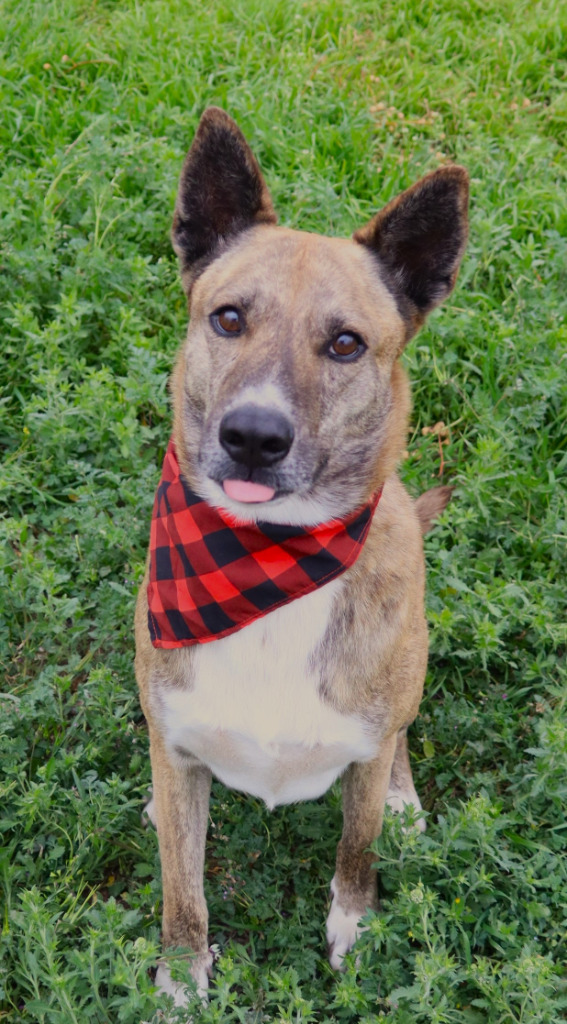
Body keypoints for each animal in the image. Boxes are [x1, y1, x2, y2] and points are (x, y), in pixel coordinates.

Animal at [133, 105, 468, 1007]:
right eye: (227, 318)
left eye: (346, 344)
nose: (253, 435)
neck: (263, 558)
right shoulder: (177, 745)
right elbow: (182, 886)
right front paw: (180, 978)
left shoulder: (364, 750)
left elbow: (357, 847)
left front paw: (356, 929)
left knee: (399, 742)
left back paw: (404, 802)